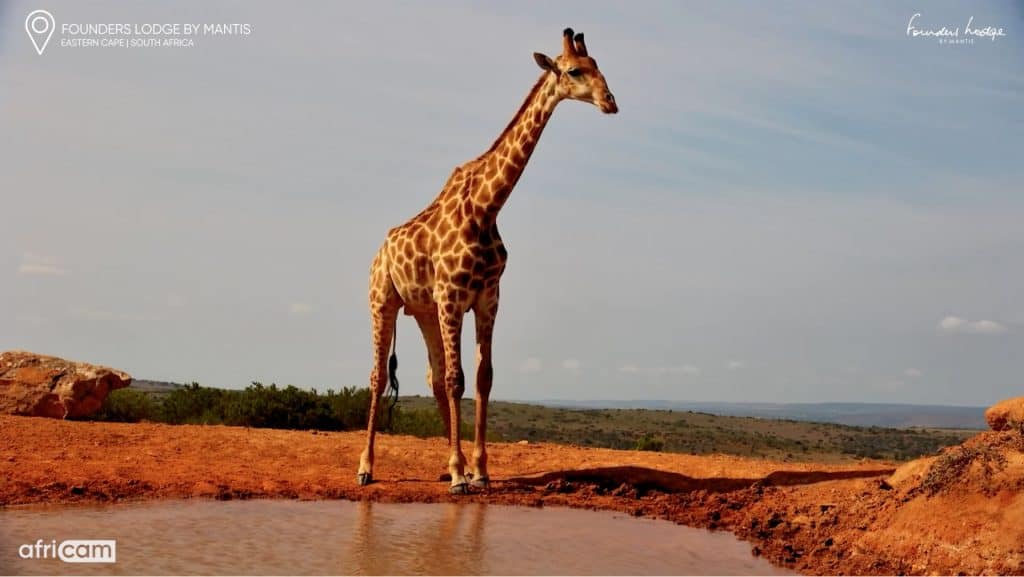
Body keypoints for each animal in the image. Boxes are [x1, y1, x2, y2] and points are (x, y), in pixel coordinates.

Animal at [357, 28, 617, 494]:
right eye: (574, 71)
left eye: (598, 66)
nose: (611, 101)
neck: (486, 207)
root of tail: (378, 252)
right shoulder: (452, 294)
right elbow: (458, 379)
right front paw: (463, 475)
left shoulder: (488, 296)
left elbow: (482, 378)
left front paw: (477, 470)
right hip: (382, 301)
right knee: (377, 377)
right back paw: (367, 468)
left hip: (424, 310)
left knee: (433, 377)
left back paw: (448, 465)